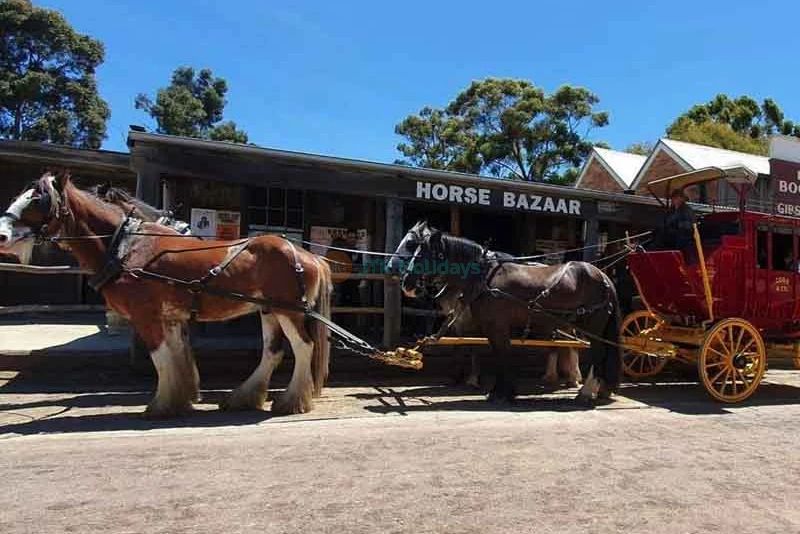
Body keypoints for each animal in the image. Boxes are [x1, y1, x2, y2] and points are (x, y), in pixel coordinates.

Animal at [0, 174, 332, 420]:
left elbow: (160, 358)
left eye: (38, 199)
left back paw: (291, 401)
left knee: (304, 347)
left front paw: (161, 405)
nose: (2, 235)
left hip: (289, 311)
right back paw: (244, 397)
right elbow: (177, 354)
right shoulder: (171, 316)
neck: (128, 247)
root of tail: (308, 255)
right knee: (272, 352)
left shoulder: (146, 315)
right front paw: (180, 398)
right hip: (269, 310)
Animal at [386, 222, 620, 406]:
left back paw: (586, 391)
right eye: (414, 248)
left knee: (597, 353)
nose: (406, 284)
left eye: (420, 251)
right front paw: (501, 390)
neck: (484, 278)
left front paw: (499, 392)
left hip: (592, 325)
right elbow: (495, 353)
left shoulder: (496, 326)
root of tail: (603, 277)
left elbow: (501, 355)